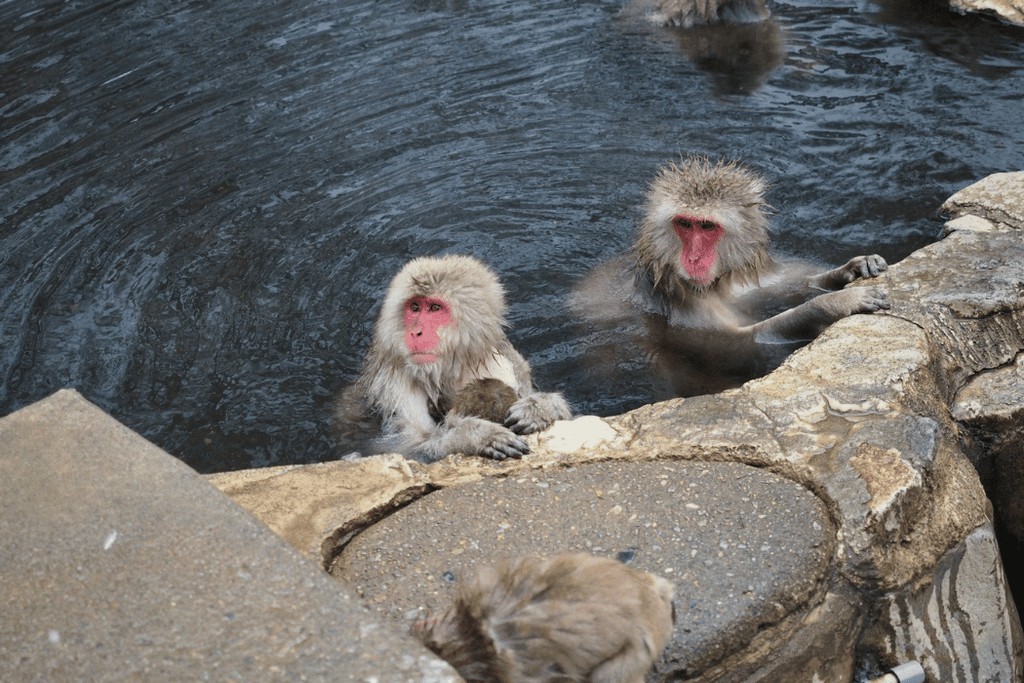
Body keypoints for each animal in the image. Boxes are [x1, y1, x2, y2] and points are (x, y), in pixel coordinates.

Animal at [335, 254, 572, 463]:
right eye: (414, 307)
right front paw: (474, 436)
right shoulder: (395, 383)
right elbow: (407, 449)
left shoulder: (500, 360)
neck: (449, 365)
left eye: (434, 308)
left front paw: (541, 408)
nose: (415, 332)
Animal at [571, 155, 890, 398]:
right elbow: (739, 345)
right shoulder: (682, 297)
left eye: (707, 227)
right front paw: (835, 303)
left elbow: (788, 286)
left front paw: (851, 268)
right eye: (684, 224)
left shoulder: (742, 279)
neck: (715, 284)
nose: (693, 259)